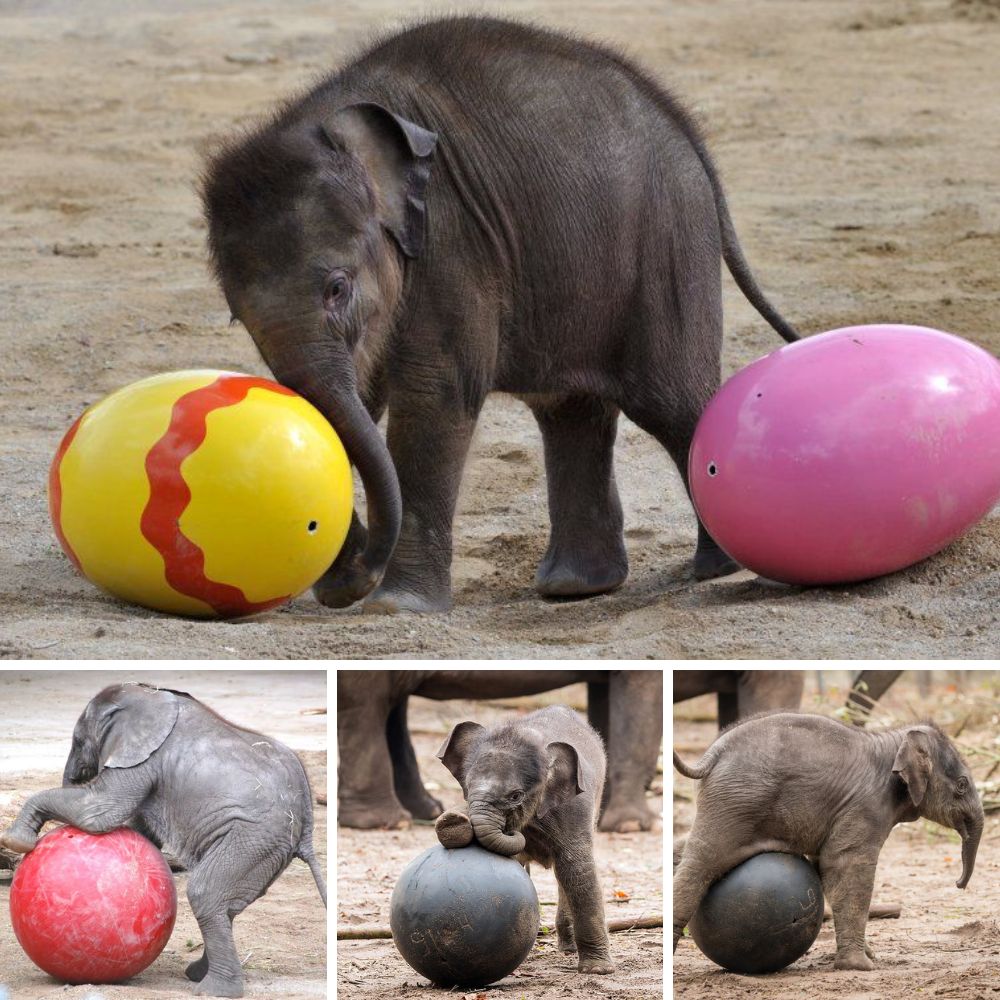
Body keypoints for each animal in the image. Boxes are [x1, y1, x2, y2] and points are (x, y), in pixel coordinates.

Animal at [0, 684, 324, 996]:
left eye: (78, 740)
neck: (147, 694)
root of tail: (307, 818)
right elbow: (135, 826)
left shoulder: (143, 760)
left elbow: (100, 810)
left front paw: (15, 841)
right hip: (265, 849)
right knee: (226, 903)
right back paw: (197, 975)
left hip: (253, 838)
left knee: (205, 892)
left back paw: (211, 990)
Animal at [201, 13, 796, 608]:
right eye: (237, 317)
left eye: (337, 289)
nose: (355, 580)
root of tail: (684, 125)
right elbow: (353, 405)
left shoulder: (450, 240)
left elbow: (437, 392)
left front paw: (396, 605)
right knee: (570, 410)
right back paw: (573, 587)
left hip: (666, 243)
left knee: (671, 403)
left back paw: (715, 570)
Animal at [434, 704, 612, 976]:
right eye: (467, 786)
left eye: (516, 796)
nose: (454, 817)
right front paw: (452, 824)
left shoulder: (574, 808)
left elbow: (577, 869)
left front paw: (597, 971)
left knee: (564, 874)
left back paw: (569, 950)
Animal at [672, 716, 984, 972]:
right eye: (962, 785)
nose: (959, 883)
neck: (892, 741)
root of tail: (711, 755)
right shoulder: (865, 808)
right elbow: (846, 865)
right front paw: (861, 966)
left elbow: (826, 868)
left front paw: (868, 956)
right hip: (736, 802)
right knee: (701, 864)